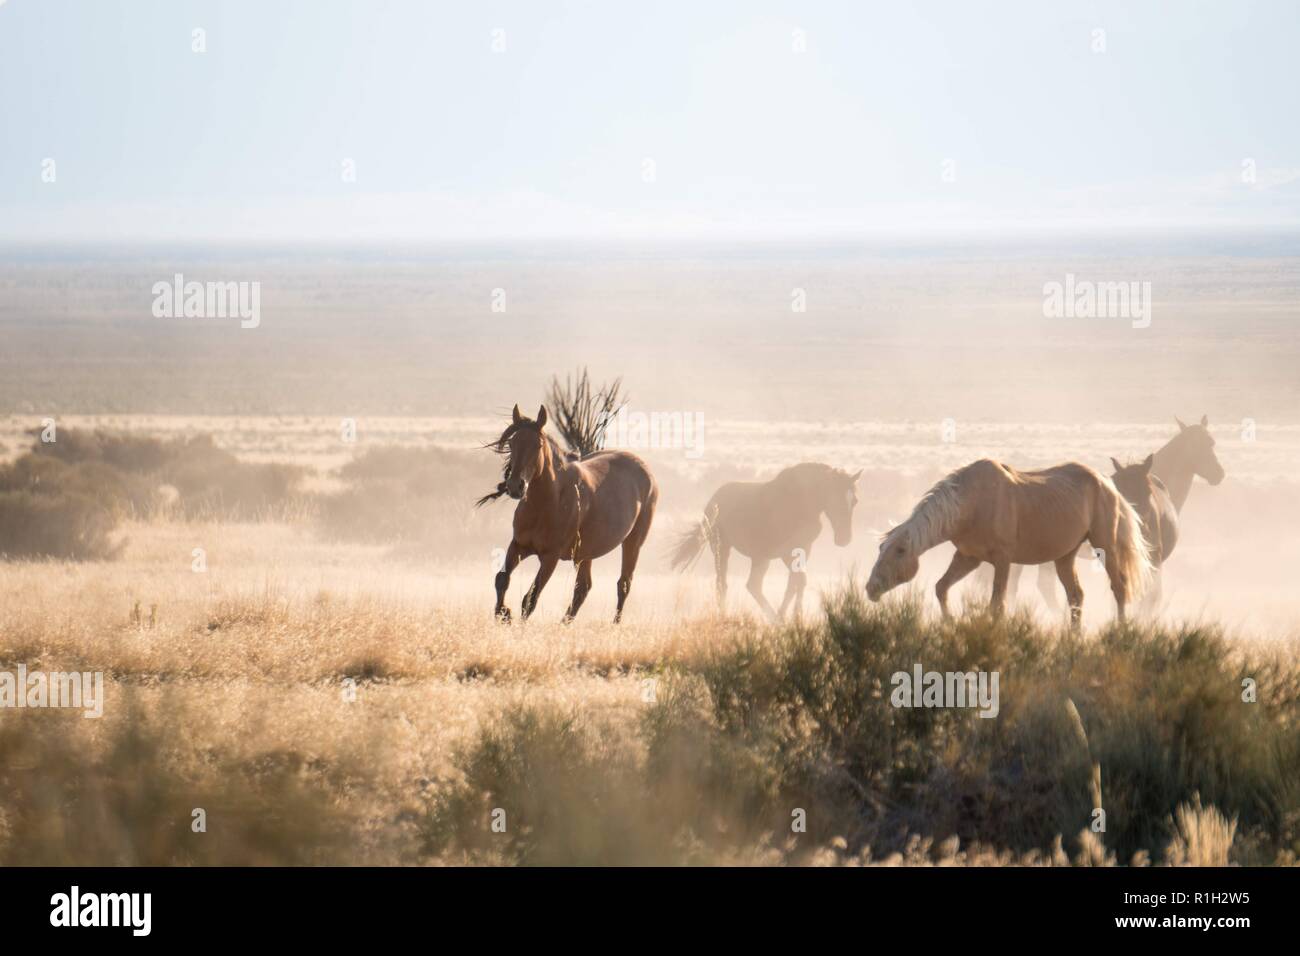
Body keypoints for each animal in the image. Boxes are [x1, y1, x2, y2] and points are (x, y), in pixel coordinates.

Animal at [670, 463, 863, 621]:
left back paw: (773, 618)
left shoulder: (804, 549)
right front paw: (792, 616)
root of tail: (712, 502)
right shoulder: (786, 552)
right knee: (723, 584)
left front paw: (791, 616)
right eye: (835, 498)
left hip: (761, 557)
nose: (844, 539)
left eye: (855, 501)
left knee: (753, 586)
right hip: (723, 548)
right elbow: (799, 580)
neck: (802, 503)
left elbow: (796, 583)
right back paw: (727, 616)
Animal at [868, 460, 1154, 624]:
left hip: (1105, 546)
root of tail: (1107, 484)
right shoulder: (969, 558)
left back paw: (1119, 634)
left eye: (899, 551)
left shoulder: (1003, 561)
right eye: (880, 548)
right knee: (1076, 597)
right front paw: (950, 625)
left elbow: (997, 605)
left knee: (1119, 587)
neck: (971, 504)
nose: (870, 588)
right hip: (1064, 556)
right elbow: (941, 588)